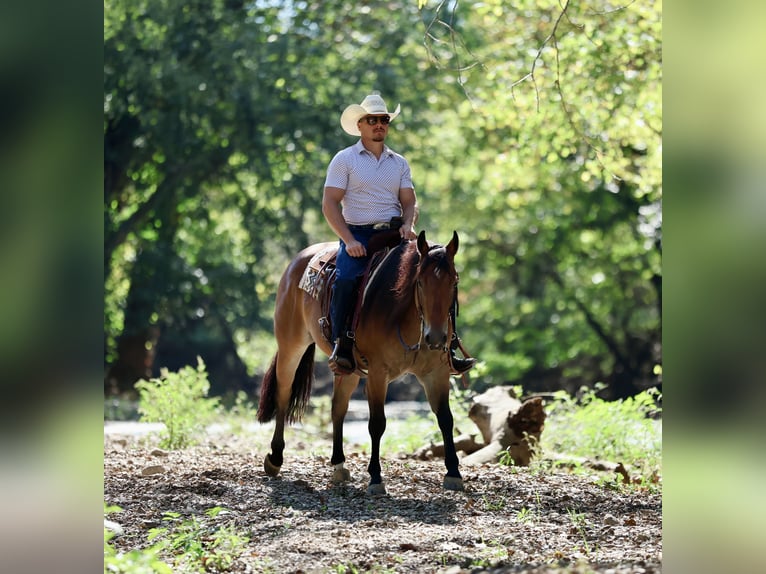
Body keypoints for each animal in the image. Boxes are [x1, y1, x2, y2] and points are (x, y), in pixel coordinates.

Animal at [257, 230, 465, 494]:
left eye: (454, 282)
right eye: (420, 282)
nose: (435, 337)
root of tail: (298, 260)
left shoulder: (436, 373)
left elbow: (446, 419)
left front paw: (454, 473)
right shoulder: (377, 373)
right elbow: (377, 423)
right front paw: (375, 477)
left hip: (348, 369)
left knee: (338, 407)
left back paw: (338, 465)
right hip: (290, 347)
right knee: (283, 394)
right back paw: (275, 458)